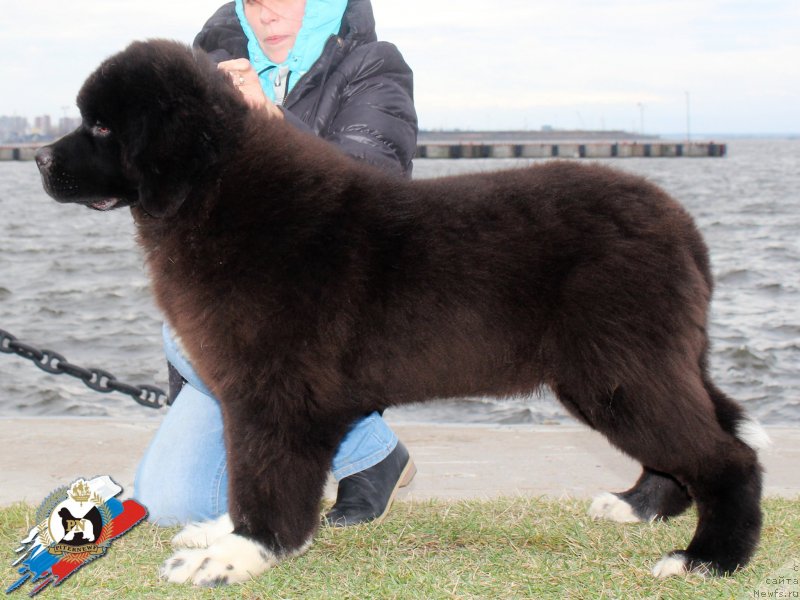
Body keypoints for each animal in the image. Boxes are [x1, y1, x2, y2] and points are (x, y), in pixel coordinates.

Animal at [36, 41, 768, 584]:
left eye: (102, 125)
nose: (38, 157)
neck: (214, 193)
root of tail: (682, 227)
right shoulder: (253, 393)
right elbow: (247, 474)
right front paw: (224, 534)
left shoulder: (275, 393)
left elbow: (264, 478)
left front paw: (237, 555)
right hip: (639, 367)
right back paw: (636, 508)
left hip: (619, 371)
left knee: (726, 456)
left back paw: (706, 560)